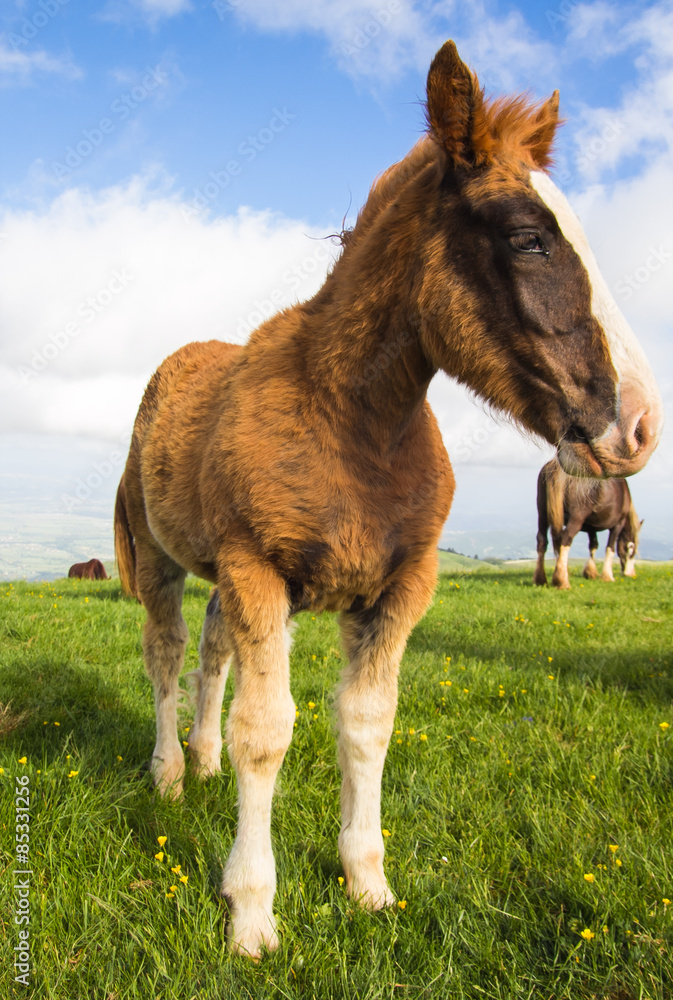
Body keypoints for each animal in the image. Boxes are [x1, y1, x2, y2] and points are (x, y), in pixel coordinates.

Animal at [533, 458, 642, 589]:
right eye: (632, 551)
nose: (630, 574)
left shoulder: (591, 528)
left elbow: (593, 546)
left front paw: (591, 572)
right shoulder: (617, 525)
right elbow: (610, 547)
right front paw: (607, 576)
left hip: (542, 514)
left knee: (542, 541)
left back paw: (540, 580)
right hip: (576, 518)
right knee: (565, 538)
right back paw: (562, 580)